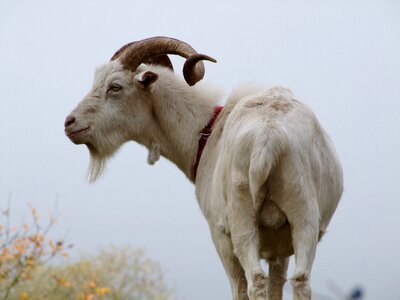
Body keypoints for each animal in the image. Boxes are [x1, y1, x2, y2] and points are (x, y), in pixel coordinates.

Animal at [64, 37, 342, 300]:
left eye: (115, 86)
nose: (70, 123)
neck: (206, 132)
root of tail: (269, 136)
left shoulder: (220, 235)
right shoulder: (279, 248)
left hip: (241, 222)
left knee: (253, 282)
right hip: (302, 215)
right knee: (301, 280)